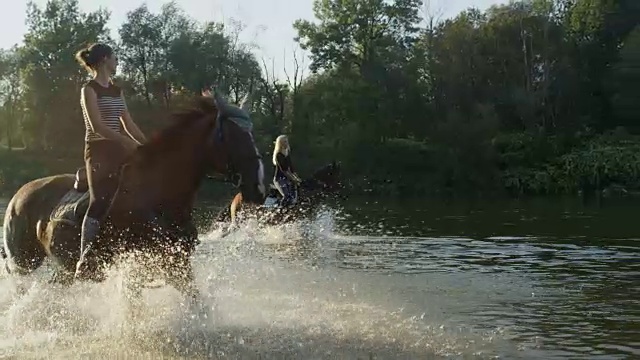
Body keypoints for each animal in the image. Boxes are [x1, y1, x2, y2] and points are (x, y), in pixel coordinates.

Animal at [0, 95, 264, 306]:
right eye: (233, 136)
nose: (259, 187)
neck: (158, 198)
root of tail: (18, 195)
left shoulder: (177, 264)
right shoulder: (137, 269)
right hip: (23, 263)